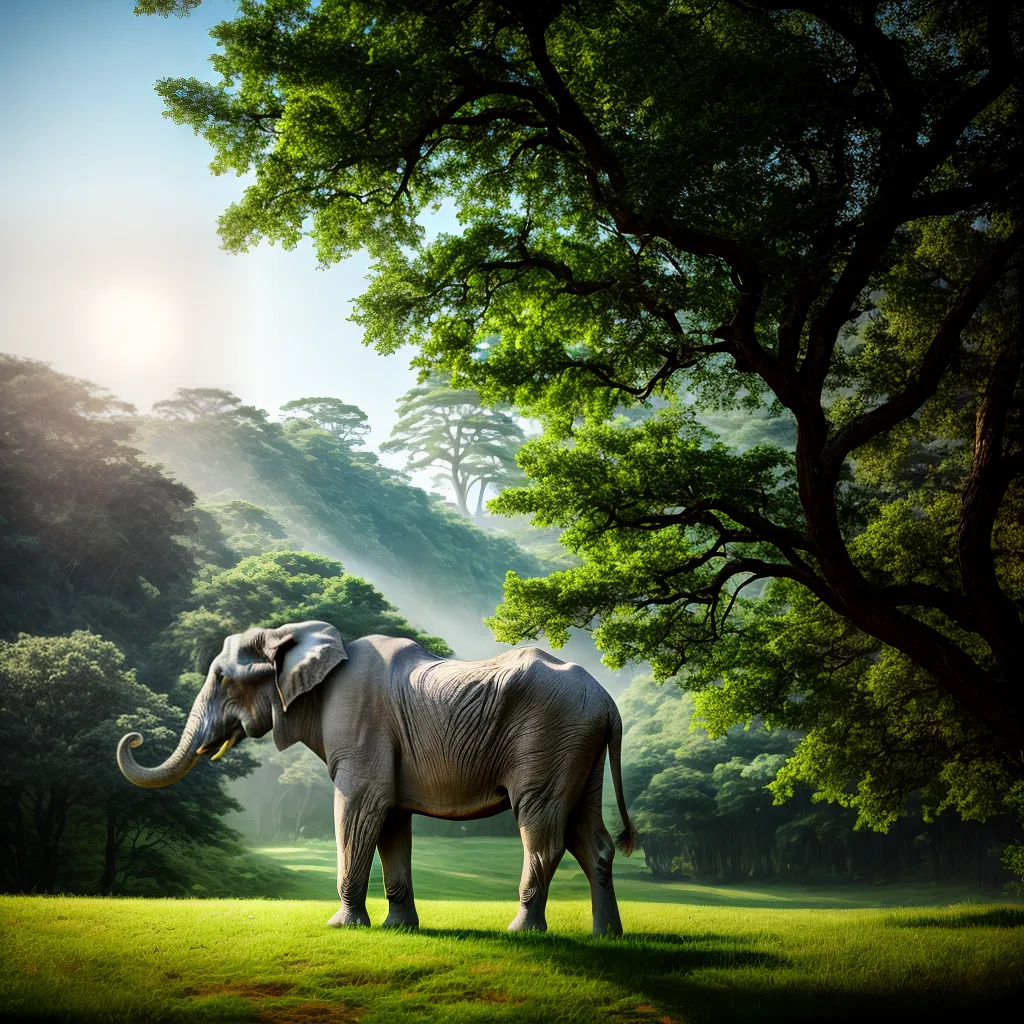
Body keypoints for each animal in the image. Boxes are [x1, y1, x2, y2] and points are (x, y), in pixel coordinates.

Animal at [117, 621, 637, 935]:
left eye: (223, 679)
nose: (134, 737)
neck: (294, 635)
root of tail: (610, 706)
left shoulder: (359, 724)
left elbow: (361, 804)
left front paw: (340, 927)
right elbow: (391, 821)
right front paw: (398, 929)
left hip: (550, 737)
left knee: (542, 828)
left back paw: (522, 932)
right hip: (578, 747)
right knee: (588, 836)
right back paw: (607, 936)